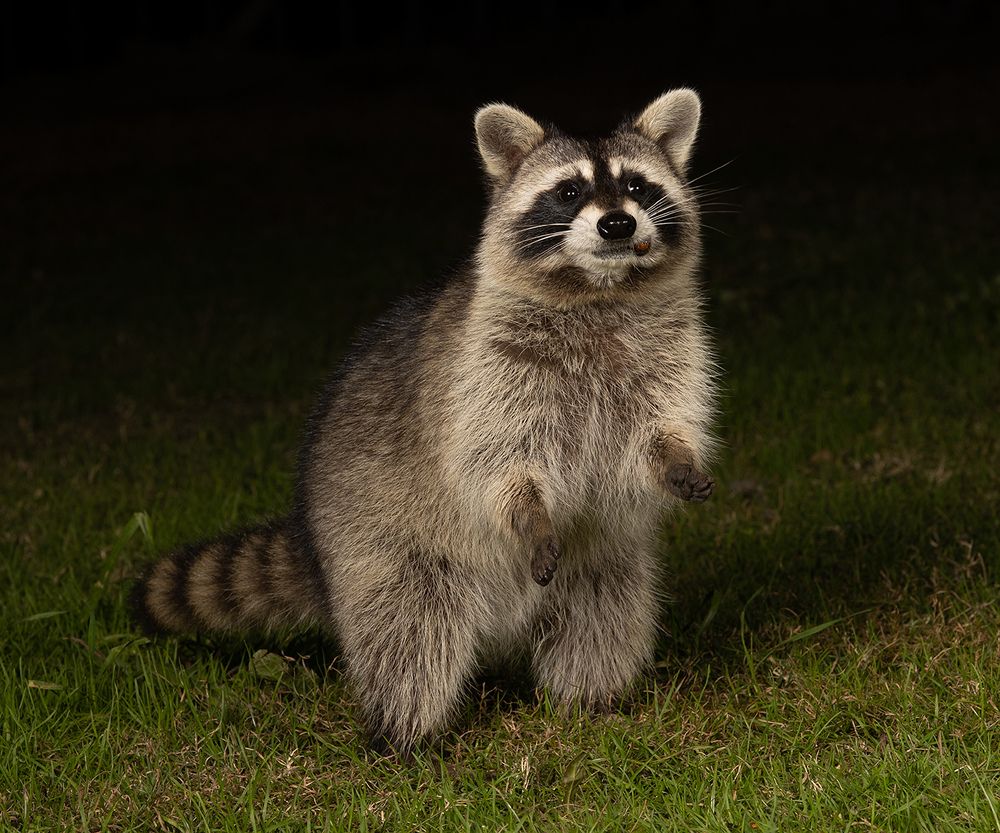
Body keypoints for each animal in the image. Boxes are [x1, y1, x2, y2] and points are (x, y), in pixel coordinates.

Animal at [130, 89, 719, 754]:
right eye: (569, 191)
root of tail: (314, 544)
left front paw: (675, 458)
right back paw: (406, 732)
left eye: (639, 187)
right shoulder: (484, 372)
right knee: (409, 636)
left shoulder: (670, 353)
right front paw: (530, 512)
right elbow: (496, 461)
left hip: (602, 560)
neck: (600, 293)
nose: (618, 224)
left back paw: (591, 701)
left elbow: (658, 427)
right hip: (384, 549)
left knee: (603, 617)